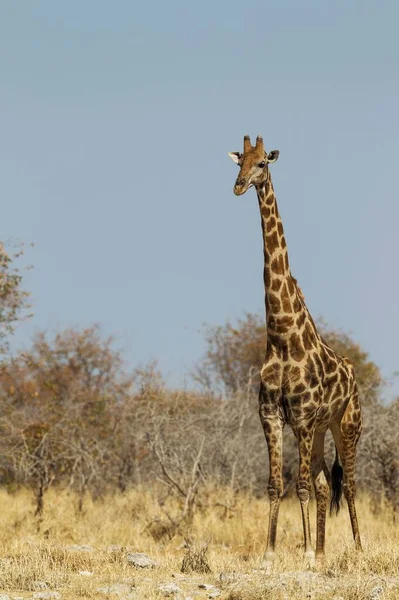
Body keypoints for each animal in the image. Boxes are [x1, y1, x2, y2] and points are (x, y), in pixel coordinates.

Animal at [230, 136, 364, 564]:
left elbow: (301, 485)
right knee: (324, 484)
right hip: (321, 431)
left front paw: (303, 552)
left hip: (347, 425)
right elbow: (277, 485)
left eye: (262, 164)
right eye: (240, 162)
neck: (282, 335)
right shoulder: (271, 415)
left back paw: (356, 548)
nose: (238, 186)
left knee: (348, 483)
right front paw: (272, 552)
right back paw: (322, 551)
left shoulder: (302, 418)